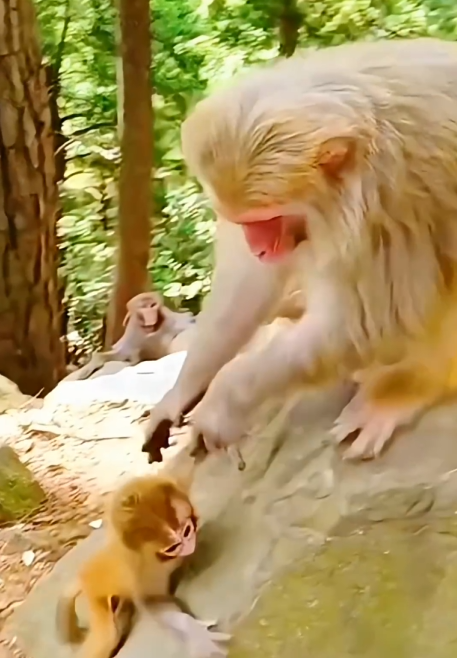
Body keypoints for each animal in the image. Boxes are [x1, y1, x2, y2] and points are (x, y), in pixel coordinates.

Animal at [56, 471, 227, 658]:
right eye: (172, 547)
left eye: (187, 530)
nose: (188, 546)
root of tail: (83, 573)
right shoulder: (145, 571)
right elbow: (154, 602)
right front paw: (196, 634)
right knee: (107, 638)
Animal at [63, 292, 196, 382]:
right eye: (143, 307)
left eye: (152, 305)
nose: (150, 315)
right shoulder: (134, 331)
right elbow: (120, 353)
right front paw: (89, 366)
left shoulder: (170, 320)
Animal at [142, 37, 457, 463]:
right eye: (247, 223)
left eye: (269, 220)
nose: (260, 248)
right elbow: (248, 283)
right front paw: (181, 391)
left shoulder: (392, 198)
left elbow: (367, 324)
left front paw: (224, 400)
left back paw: (410, 385)